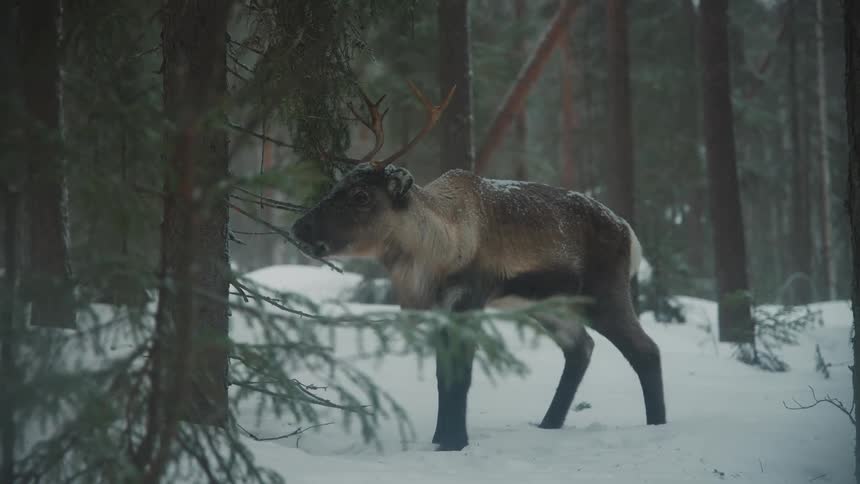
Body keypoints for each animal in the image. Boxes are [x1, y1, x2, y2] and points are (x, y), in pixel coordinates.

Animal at [291, 81, 666, 451]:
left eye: (361, 196)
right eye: (335, 187)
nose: (299, 228)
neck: (432, 254)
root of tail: (628, 233)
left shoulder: (467, 301)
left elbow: (461, 377)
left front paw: (455, 442)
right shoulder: (438, 311)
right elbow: (442, 377)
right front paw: (441, 439)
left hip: (603, 294)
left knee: (645, 351)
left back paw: (657, 424)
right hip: (547, 305)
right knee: (580, 348)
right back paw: (548, 424)